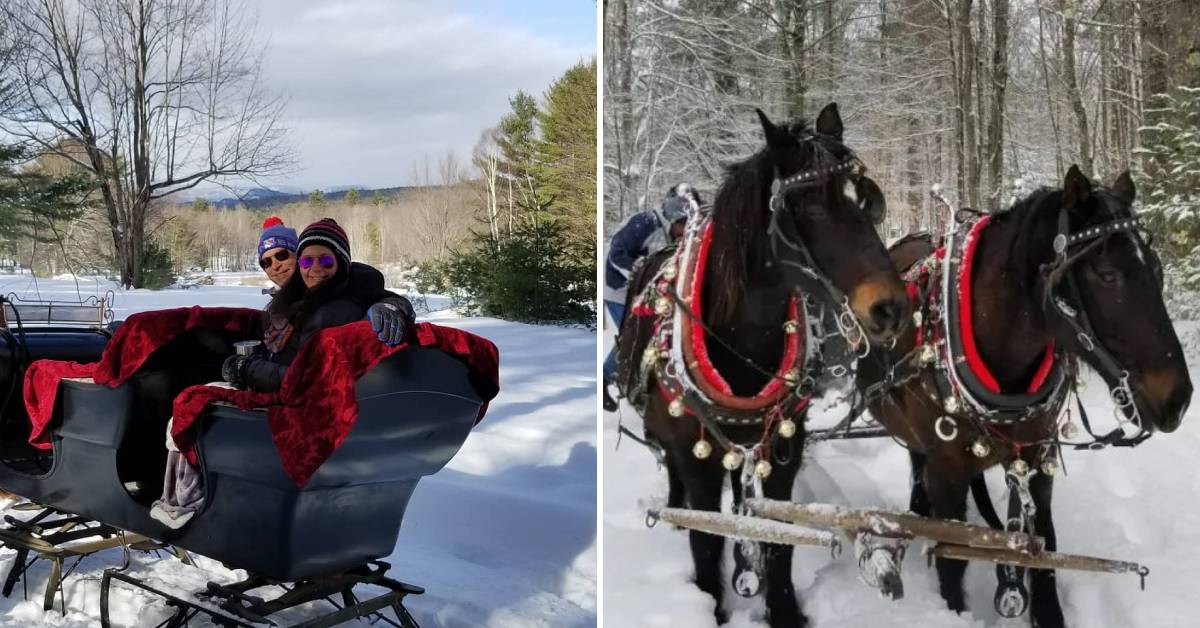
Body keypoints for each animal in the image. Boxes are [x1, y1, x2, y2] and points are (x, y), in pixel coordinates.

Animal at [619, 104, 907, 628]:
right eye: (810, 207)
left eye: (867, 200)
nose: (891, 309)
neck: (743, 341)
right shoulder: (696, 454)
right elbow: (705, 536)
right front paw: (710, 602)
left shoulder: (782, 446)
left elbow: (779, 535)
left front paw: (784, 609)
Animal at [864, 166, 1190, 628]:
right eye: (1107, 274)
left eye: (1158, 270)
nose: (1179, 397)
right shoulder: (947, 471)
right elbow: (951, 559)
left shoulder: (1036, 456)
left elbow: (1042, 545)